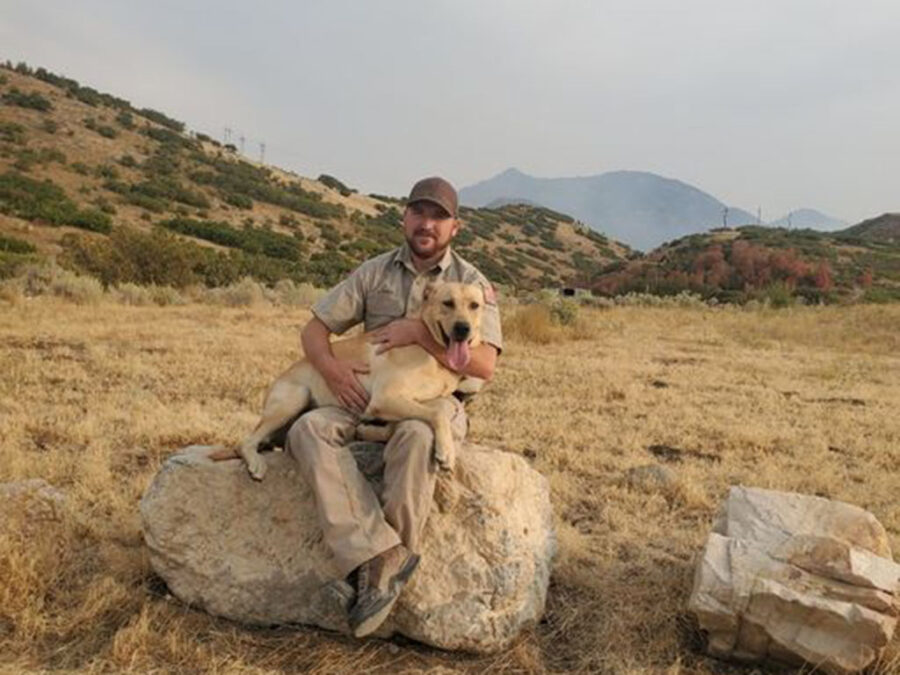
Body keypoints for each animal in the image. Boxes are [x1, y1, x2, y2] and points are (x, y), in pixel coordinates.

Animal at [230, 282, 486, 484]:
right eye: (447, 303)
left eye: (474, 305)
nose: (463, 329)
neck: (431, 351)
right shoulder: (384, 398)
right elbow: (436, 414)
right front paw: (446, 451)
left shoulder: (405, 402)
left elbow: (413, 418)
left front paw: (368, 430)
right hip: (293, 399)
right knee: (246, 441)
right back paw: (256, 463)